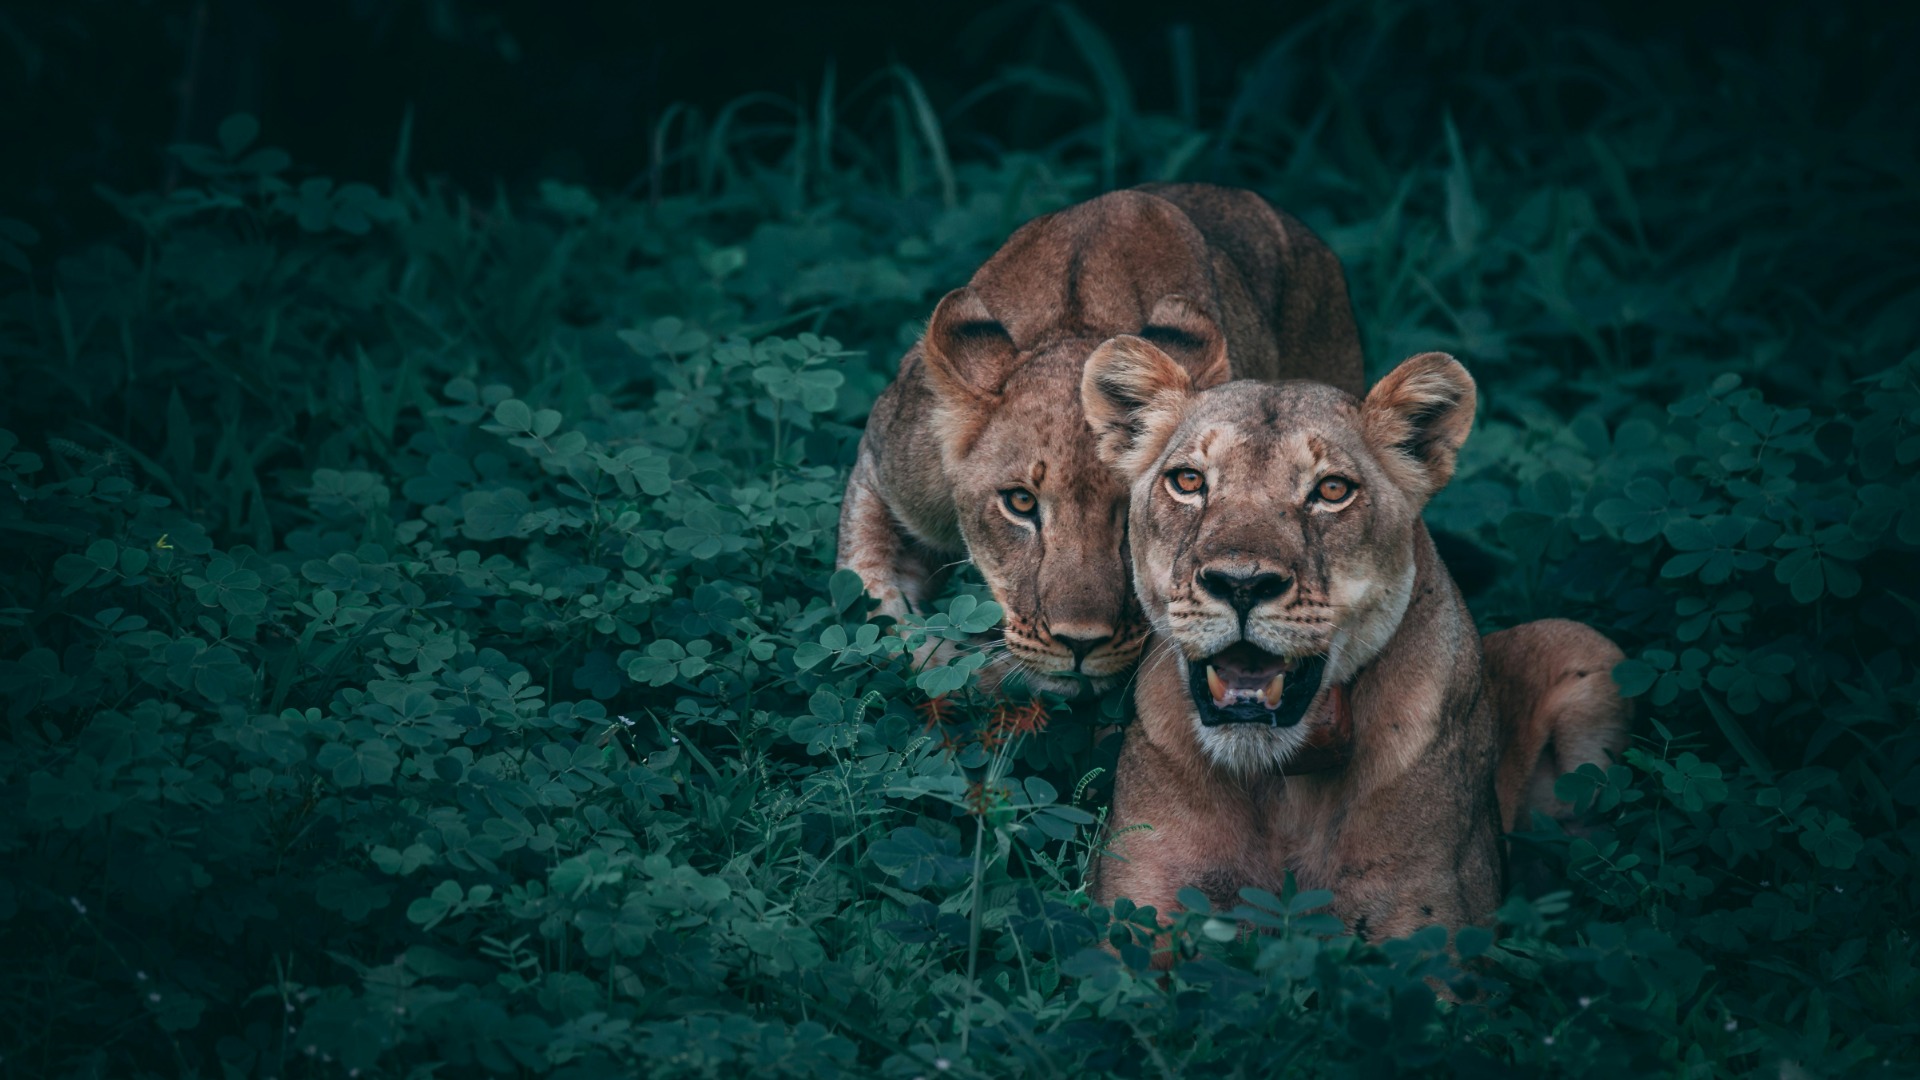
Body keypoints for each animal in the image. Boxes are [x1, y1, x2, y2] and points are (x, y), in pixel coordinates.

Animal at [1079, 341, 1630, 953]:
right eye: (1189, 480)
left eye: (1332, 491)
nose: (1241, 584)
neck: (1280, 788)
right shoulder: (1134, 909)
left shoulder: (1433, 933)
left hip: (1586, 646)